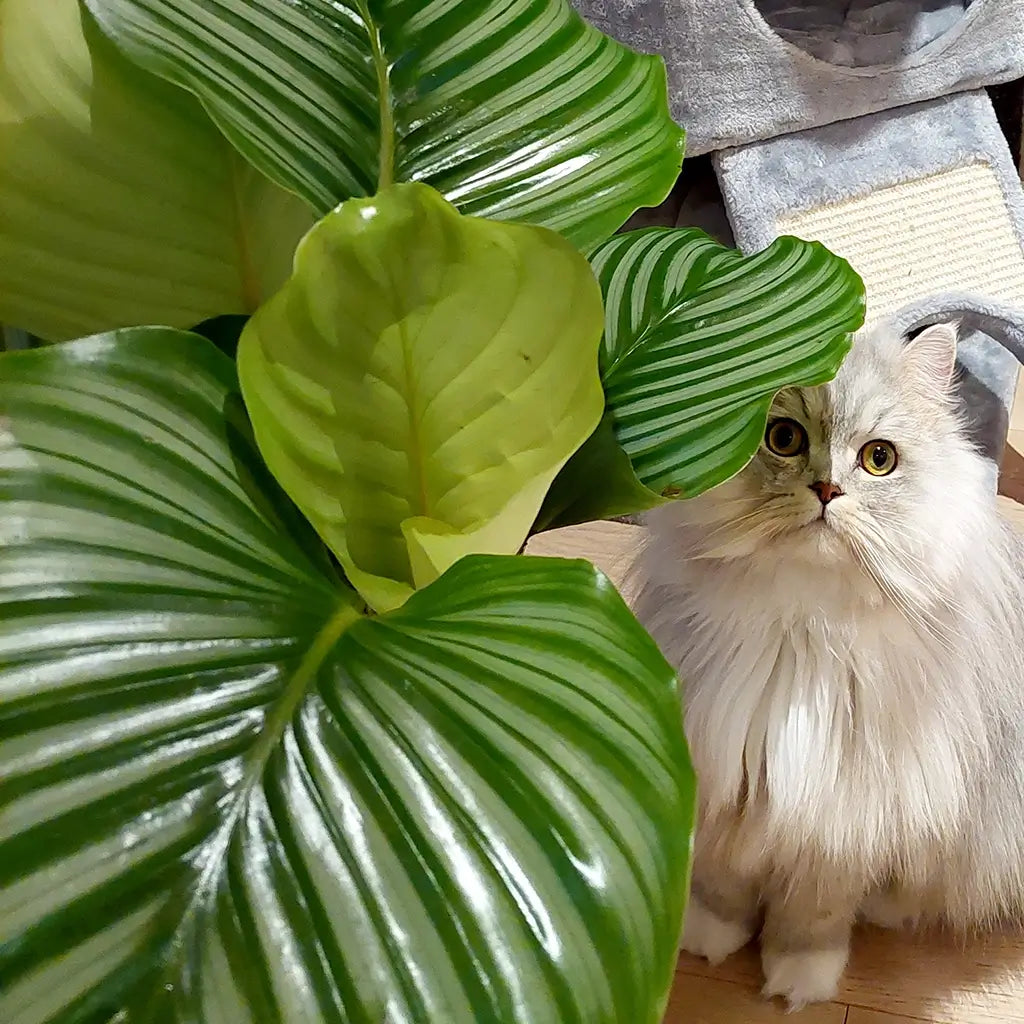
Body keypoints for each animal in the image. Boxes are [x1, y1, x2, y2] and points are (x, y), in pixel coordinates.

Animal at [626, 323, 1024, 1011]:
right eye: (783, 439)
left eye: (878, 459)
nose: (827, 490)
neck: (804, 635)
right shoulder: (726, 777)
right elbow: (723, 885)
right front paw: (709, 940)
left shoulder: (844, 821)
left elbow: (812, 918)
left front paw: (798, 981)